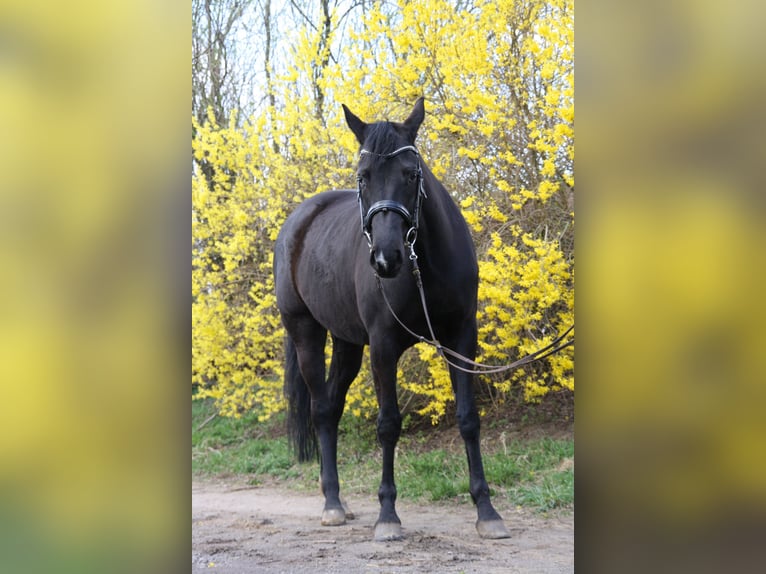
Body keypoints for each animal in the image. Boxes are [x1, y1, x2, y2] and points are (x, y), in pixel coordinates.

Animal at [274, 99, 510, 544]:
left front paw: (487, 512)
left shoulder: (461, 340)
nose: (386, 259)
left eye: (410, 174)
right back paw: (332, 505)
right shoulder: (383, 347)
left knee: (333, 406)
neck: (423, 266)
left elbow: (468, 420)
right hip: (306, 333)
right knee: (320, 409)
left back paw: (338, 499)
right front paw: (387, 515)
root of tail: (299, 220)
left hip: (348, 343)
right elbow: (388, 425)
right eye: (362, 177)